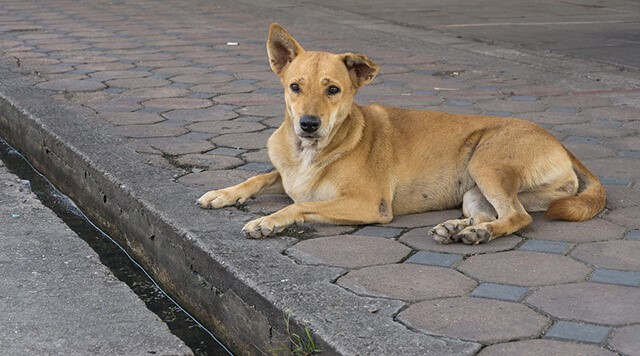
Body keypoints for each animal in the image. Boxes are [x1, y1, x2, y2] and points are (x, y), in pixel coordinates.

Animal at [196, 23, 604, 245]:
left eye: (333, 90)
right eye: (295, 86)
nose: (308, 124)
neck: (309, 152)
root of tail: (562, 145)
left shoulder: (367, 204)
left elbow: (298, 205)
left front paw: (267, 221)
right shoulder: (286, 173)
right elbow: (262, 177)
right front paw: (223, 194)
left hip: (487, 160)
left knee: (518, 217)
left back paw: (478, 234)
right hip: (473, 189)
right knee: (491, 213)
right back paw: (458, 227)